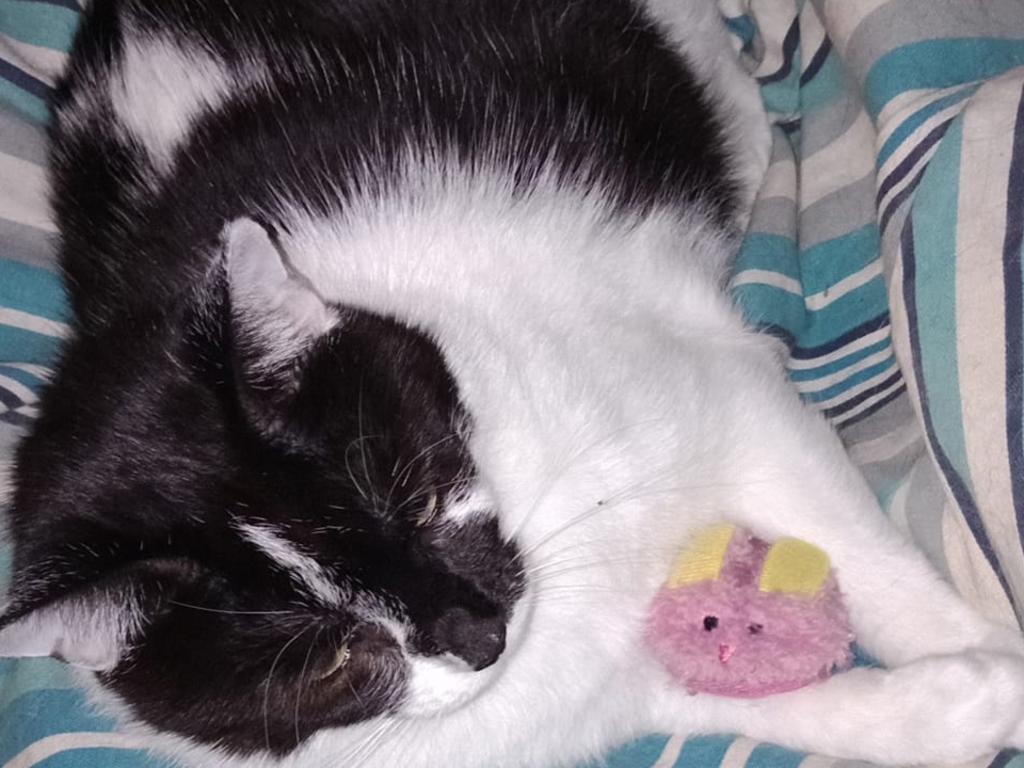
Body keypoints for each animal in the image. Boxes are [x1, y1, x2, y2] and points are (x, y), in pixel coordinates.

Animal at [2, 0, 1024, 765]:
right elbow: (717, 700)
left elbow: (873, 562)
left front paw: (984, 648)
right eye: (330, 658)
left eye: (417, 499)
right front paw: (953, 707)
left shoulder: (727, 394)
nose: (479, 637)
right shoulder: (573, 701)